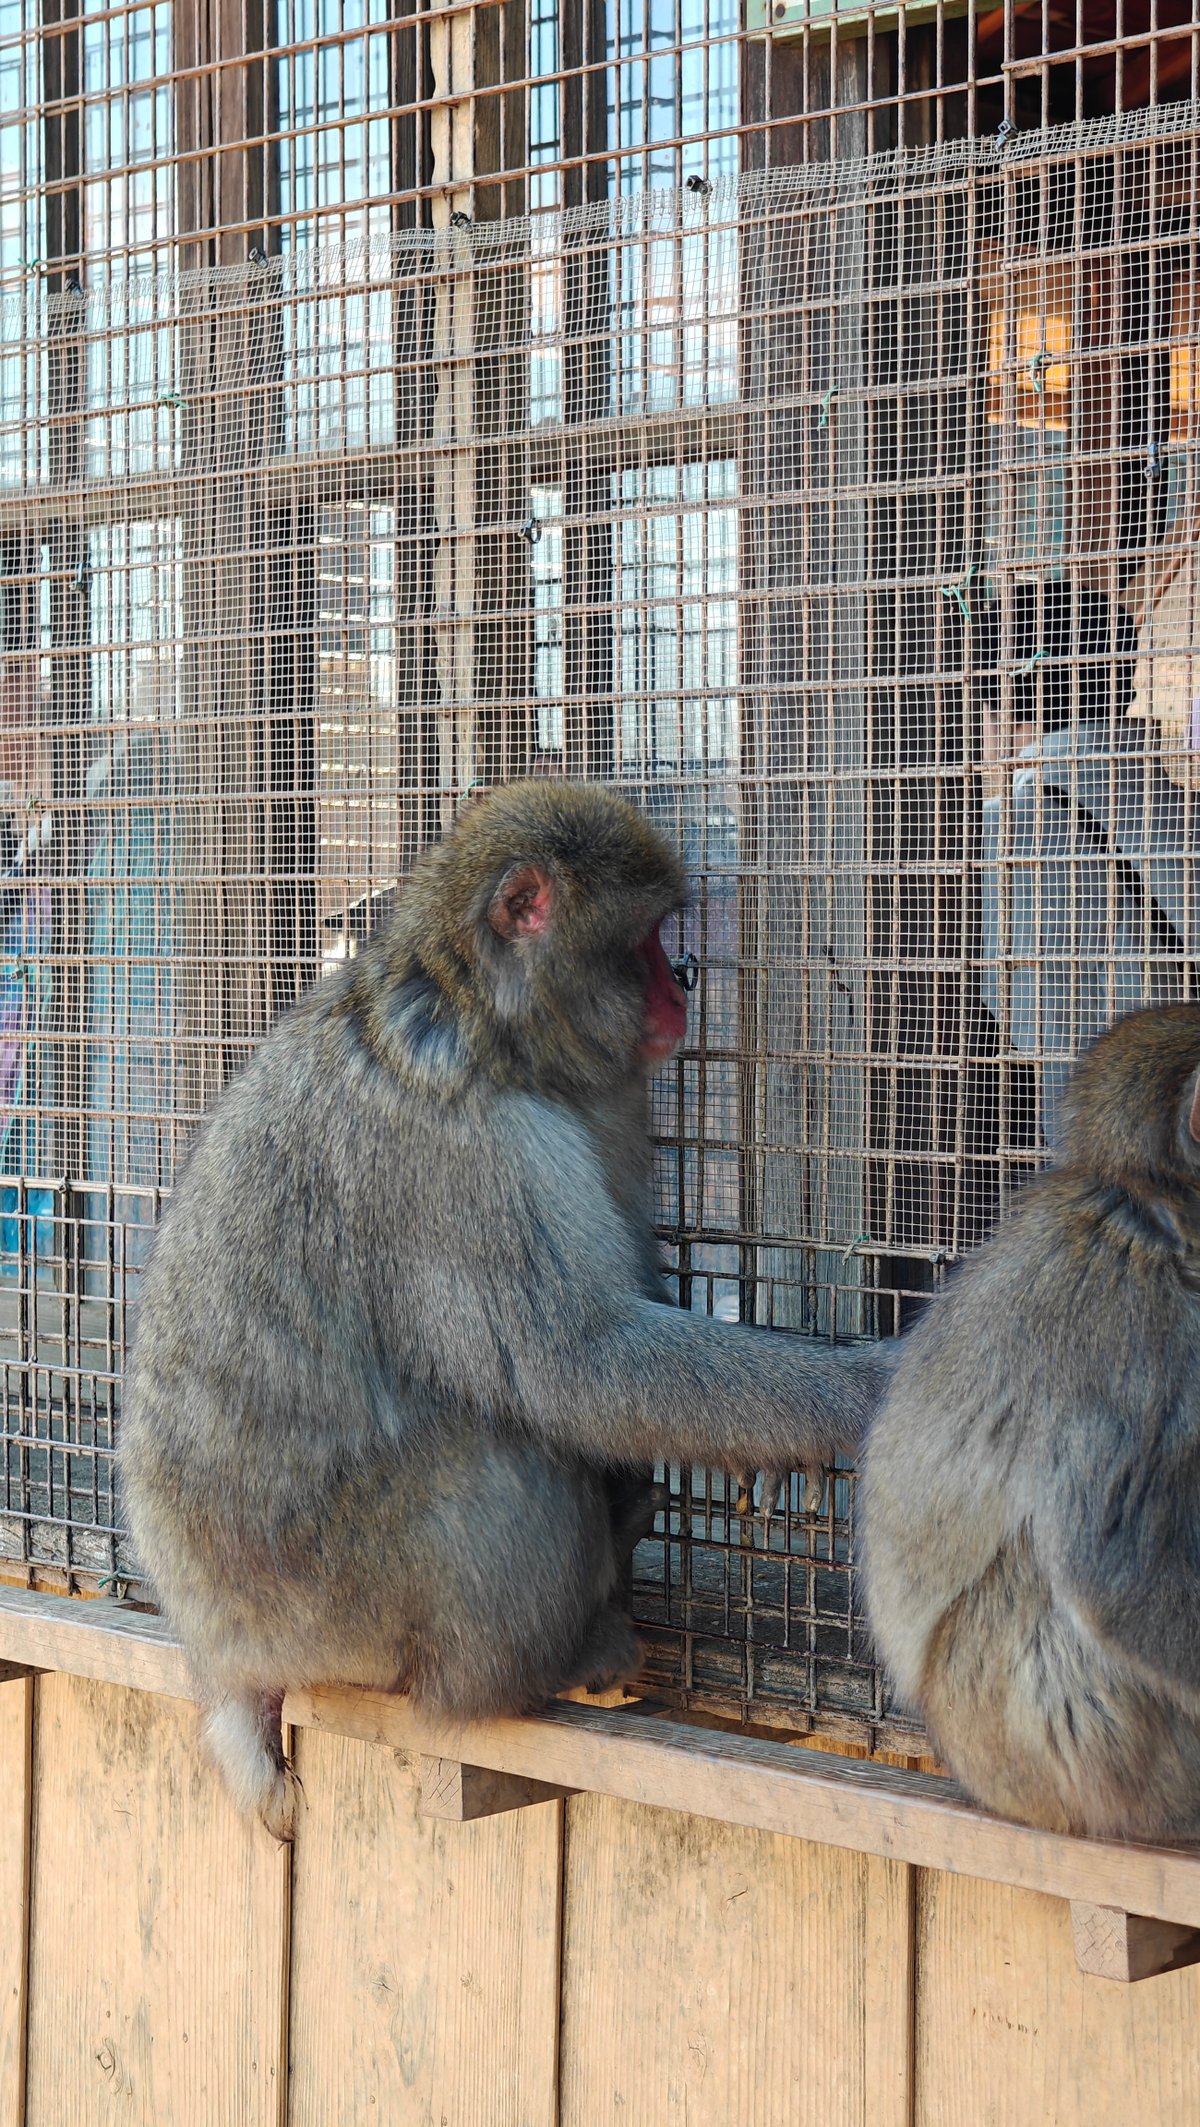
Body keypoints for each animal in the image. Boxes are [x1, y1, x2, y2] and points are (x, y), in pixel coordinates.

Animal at [119, 780, 895, 1837]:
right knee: (505, 1452)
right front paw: (863, 1389)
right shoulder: (469, 1151)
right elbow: (581, 1366)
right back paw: (531, 1671)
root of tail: (220, 1648)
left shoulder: (600, 1105)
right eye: (645, 938)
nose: (681, 986)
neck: (482, 1016)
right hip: (326, 1608)